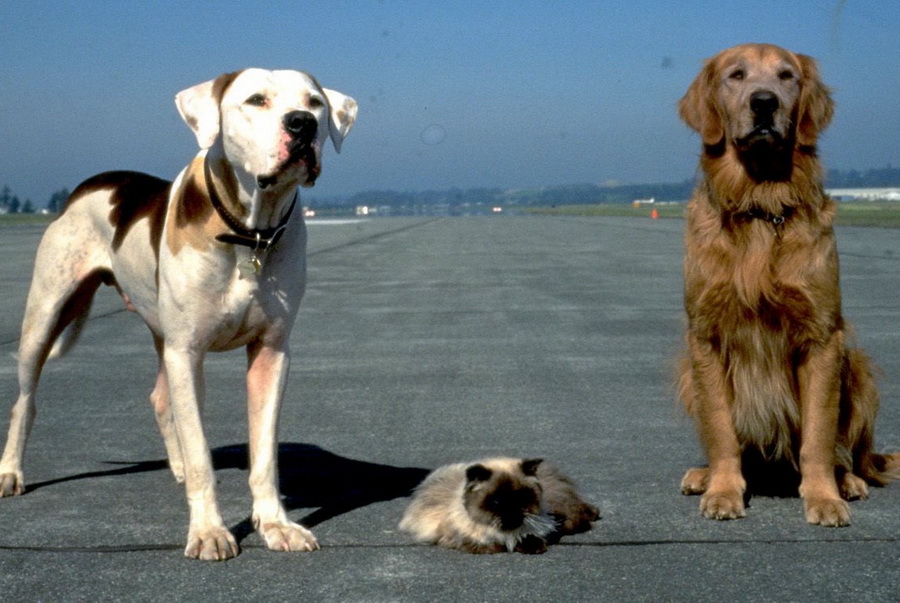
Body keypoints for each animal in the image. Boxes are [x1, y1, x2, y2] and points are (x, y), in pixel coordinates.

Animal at [0, 69, 358, 560]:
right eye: (256, 100)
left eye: (315, 103)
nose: (301, 123)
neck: (250, 230)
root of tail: (89, 185)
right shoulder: (187, 352)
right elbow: (202, 449)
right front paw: (208, 531)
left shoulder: (271, 352)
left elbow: (264, 452)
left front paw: (275, 524)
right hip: (45, 314)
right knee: (25, 400)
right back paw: (11, 472)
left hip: (158, 329)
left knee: (159, 397)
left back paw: (179, 467)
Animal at [400, 456, 596, 556]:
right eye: (497, 502)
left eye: (521, 498)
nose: (513, 513)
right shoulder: (469, 541)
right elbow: (498, 545)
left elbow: (531, 537)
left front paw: (534, 547)